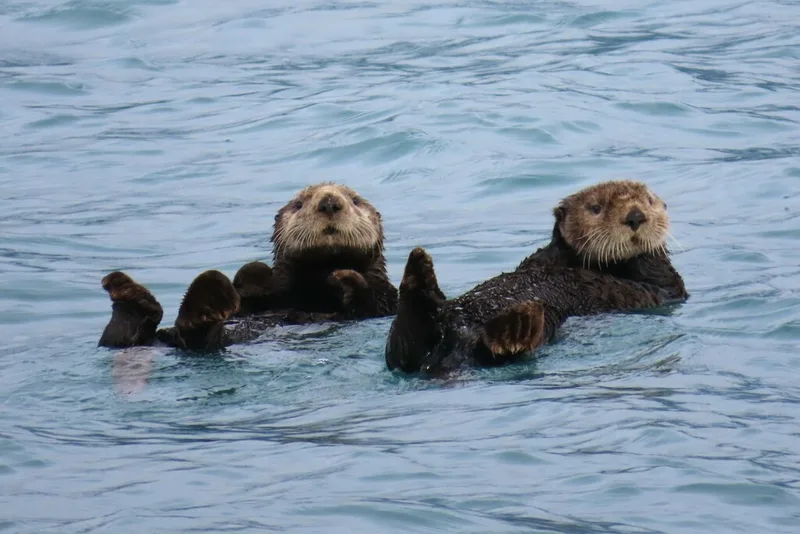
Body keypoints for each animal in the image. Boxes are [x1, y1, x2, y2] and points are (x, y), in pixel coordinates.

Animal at [98, 182, 397, 351]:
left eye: (355, 201)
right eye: (299, 204)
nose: (329, 202)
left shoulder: (385, 302)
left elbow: (368, 303)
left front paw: (345, 278)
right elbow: (254, 282)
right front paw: (253, 271)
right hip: (164, 337)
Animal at [385, 180, 687, 376]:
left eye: (649, 202)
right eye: (596, 208)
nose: (635, 215)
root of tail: (448, 354)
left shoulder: (666, 289)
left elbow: (660, 278)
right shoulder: (544, 257)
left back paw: (518, 324)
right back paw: (419, 271)